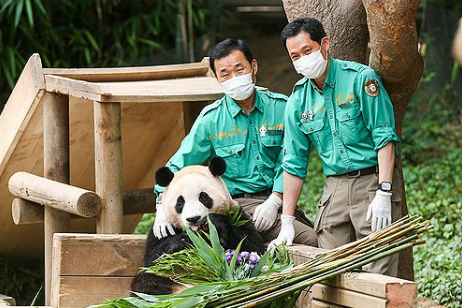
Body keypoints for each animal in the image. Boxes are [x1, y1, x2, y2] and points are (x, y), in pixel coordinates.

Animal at [132, 158, 266, 294]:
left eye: (203, 197)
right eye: (180, 202)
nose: (193, 219)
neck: (201, 231)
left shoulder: (236, 216)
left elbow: (251, 247)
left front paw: (214, 222)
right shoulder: (163, 229)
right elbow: (153, 259)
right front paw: (184, 239)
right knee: (145, 281)